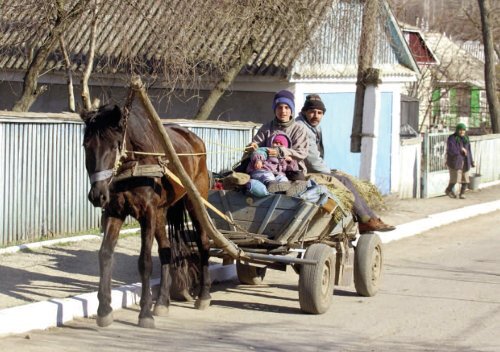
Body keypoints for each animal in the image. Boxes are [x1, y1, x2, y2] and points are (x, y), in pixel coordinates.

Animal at [79, 97, 211, 328]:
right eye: (87, 145)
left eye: (114, 145)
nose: (97, 195)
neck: (134, 164)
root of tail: (194, 140)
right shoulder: (115, 211)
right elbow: (105, 254)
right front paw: (104, 310)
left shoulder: (147, 213)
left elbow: (145, 261)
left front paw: (145, 313)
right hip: (161, 213)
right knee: (166, 250)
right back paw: (163, 302)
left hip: (195, 203)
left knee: (203, 242)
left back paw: (203, 296)